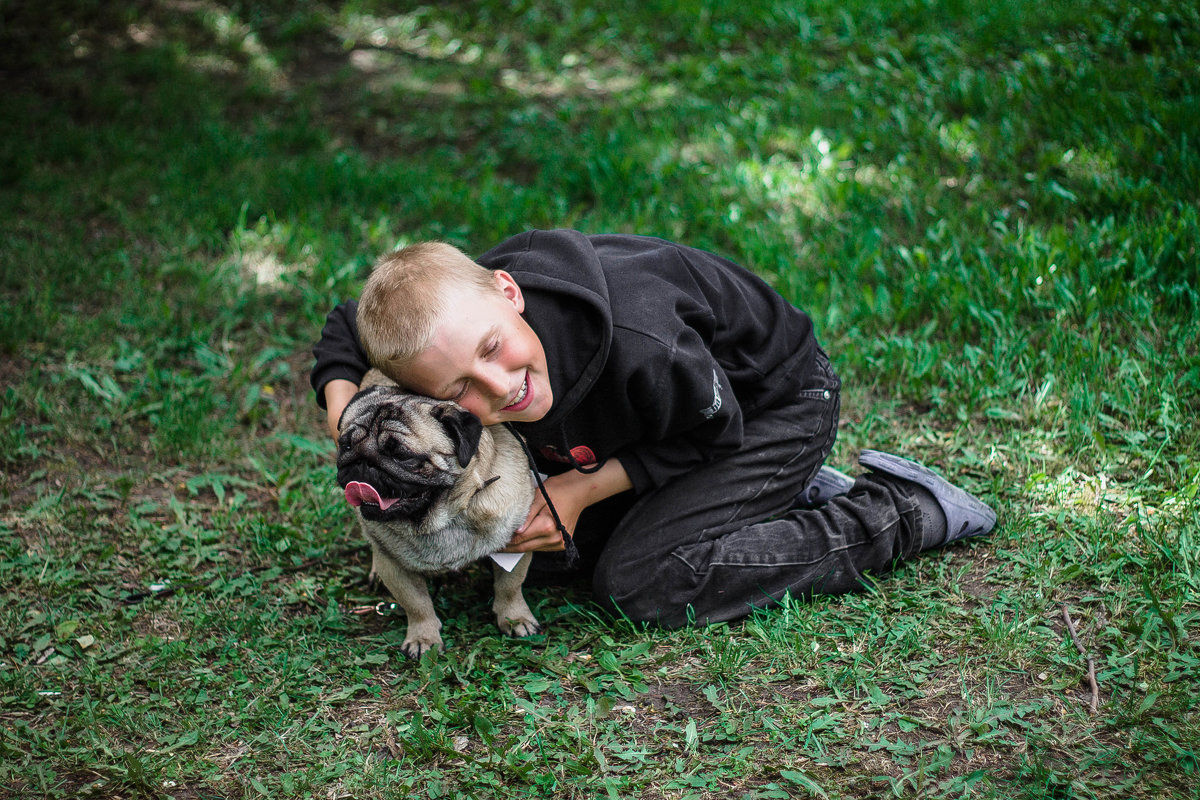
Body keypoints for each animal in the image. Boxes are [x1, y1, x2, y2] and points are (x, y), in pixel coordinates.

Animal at [340, 369, 542, 657]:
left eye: (402, 455)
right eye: (345, 445)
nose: (362, 461)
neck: (441, 518)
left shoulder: (515, 543)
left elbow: (510, 586)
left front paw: (516, 619)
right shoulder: (394, 566)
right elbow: (416, 604)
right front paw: (423, 638)